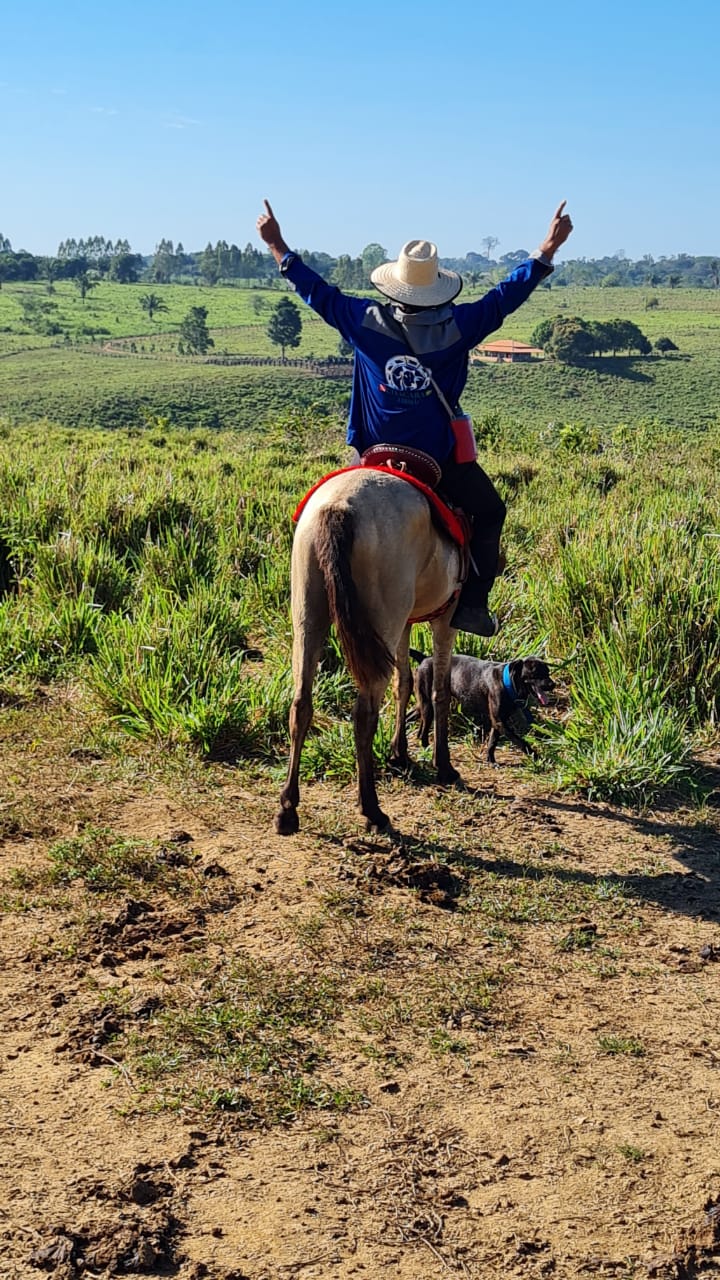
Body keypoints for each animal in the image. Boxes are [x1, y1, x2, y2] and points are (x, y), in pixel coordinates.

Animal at [271, 465, 461, 834]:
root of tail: (339, 507)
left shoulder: (405, 623)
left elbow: (405, 683)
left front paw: (399, 753)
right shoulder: (445, 618)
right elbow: (440, 691)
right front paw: (442, 764)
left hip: (309, 617)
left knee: (301, 704)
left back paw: (288, 808)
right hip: (382, 620)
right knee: (364, 714)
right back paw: (372, 808)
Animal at [409, 655, 556, 762]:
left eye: (548, 672)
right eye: (536, 672)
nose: (553, 684)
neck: (507, 682)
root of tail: (424, 659)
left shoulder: (498, 721)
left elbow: (492, 741)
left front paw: (490, 760)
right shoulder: (500, 721)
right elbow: (520, 741)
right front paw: (536, 756)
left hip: (422, 705)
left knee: (411, 717)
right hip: (428, 705)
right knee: (424, 732)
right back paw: (427, 749)